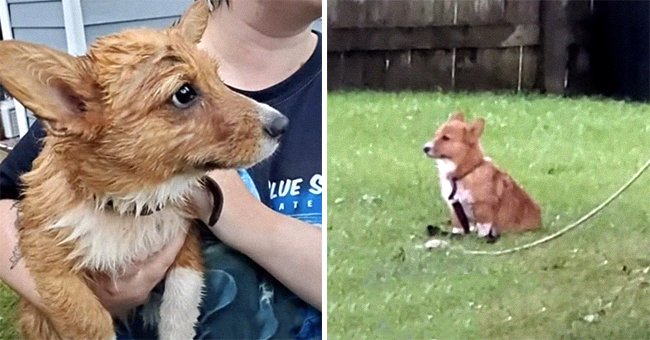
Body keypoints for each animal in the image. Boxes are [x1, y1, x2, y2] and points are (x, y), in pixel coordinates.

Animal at [0, 1, 288, 338]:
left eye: (218, 78)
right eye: (184, 93)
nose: (282, 125)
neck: (129, 203)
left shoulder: (184, 236)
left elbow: (182, 298)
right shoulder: (51, 266)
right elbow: (88, 319)